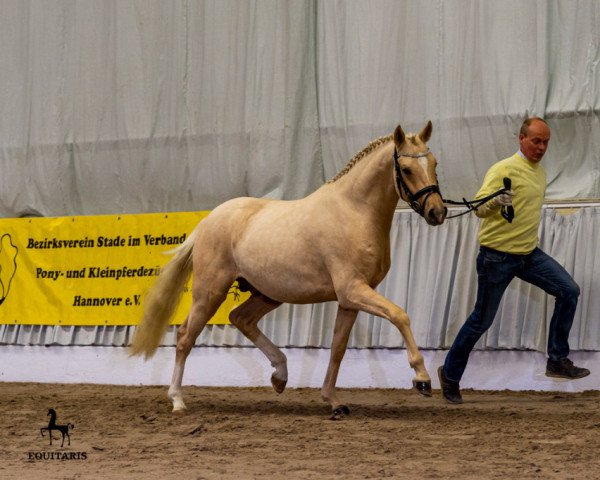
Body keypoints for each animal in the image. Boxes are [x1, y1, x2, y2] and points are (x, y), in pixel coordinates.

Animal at [132, 122, 450, 418]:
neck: (354, 211)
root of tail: (208, 221)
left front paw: (333, 402)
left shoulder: (350, 300)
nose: (437, 212)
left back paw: (280, 375)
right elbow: (399, 315)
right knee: (186, 335)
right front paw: (421, 378)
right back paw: (177, 400)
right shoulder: (353, 290)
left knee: (241, 318)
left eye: (434, 163)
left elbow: (337, 348)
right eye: (406, 169)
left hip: (268, 293)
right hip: (210, 291)